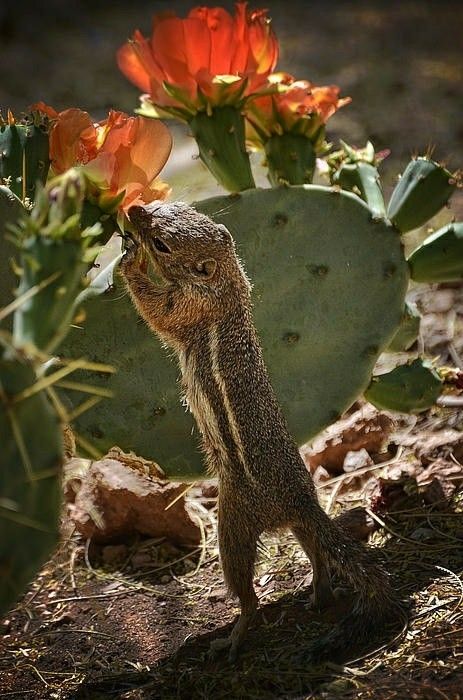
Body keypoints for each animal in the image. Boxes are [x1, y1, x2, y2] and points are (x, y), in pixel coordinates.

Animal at [121, 201, 404, 660]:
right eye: (172, 206)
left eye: (162, 243)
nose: (135, 209)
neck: (225, 282)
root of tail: (298, 501)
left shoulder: (185, 306)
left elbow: (155, 312)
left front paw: (129, 261)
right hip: (298, 520)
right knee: (317, 550)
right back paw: (319, 592)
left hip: (232, 523)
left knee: (248, 594)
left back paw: (234, 637)